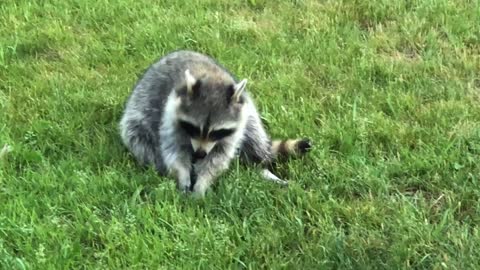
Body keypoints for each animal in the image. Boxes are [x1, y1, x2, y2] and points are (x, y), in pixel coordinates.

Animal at [118, 50, 310, 196]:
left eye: (217, 132)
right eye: (194, 128)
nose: (200, 154)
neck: (210, 78)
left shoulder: (237, 122)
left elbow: (219, 155)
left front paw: (203, 182)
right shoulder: (170, 115)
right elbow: (174, 150)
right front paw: (182, 174)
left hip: (249, 113)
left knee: (254, 134)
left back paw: (260, 167)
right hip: (137, 114)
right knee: (140, 138)